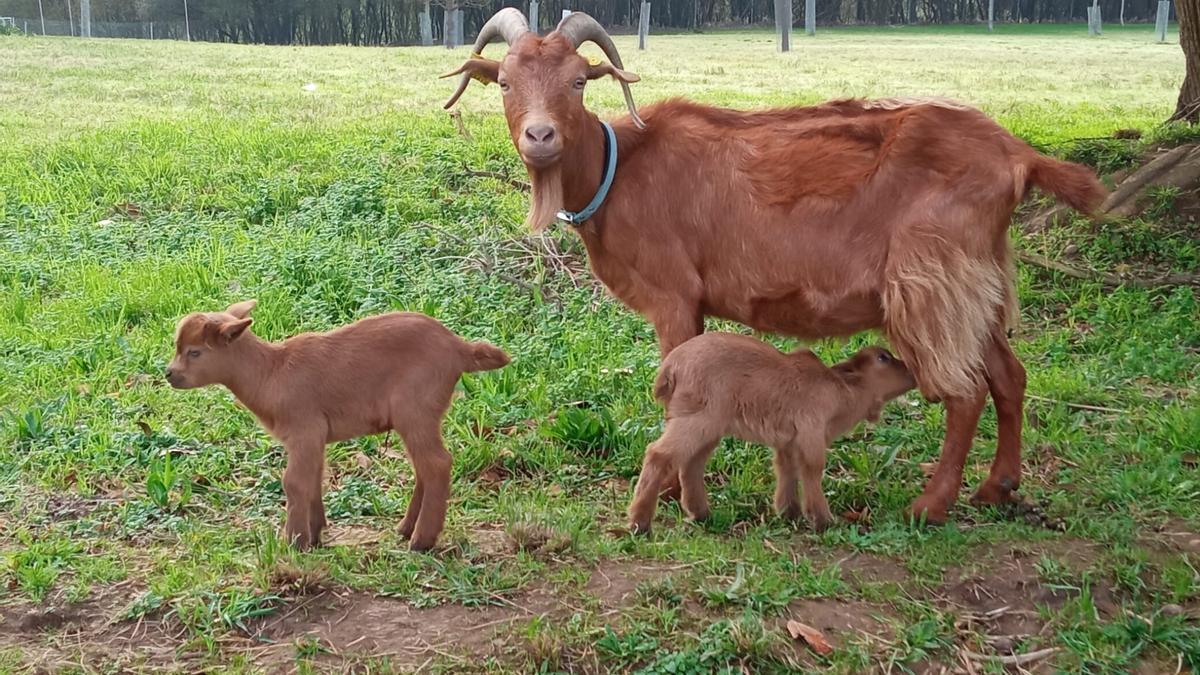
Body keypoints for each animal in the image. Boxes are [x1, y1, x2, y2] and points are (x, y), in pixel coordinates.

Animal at [166, 300, 510, 551]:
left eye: (195, 352)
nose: (169, 374)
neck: (272, 373)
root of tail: (459, 348)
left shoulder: (304, 429)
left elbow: (294, 481)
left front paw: (294, 542)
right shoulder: (315, 436)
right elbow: (315, 477)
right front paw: (315, 533)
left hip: (416, 410)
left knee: (437, 464)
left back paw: (421, 541)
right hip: (419, 416)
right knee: (424, 467)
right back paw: (406, 528)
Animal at [628, 335, 916, 533]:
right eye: (883, 358)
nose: (912, 371)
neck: (842, 392)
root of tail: (669, 369)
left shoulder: (788, 441)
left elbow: (786, 469)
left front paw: (789, 512)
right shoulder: (811, 432)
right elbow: (812, 470)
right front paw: (823, 520)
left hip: (706, 426)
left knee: (691, 463)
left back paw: (702, 514)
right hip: (697, 419)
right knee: (659, 454)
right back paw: (640, 522)